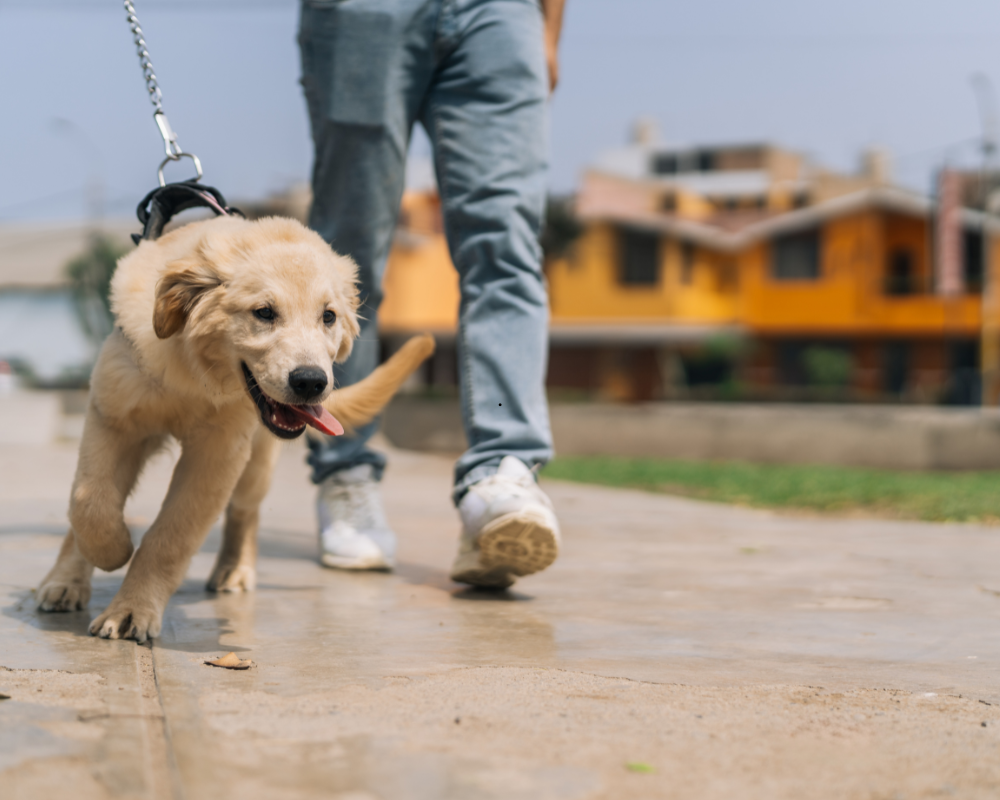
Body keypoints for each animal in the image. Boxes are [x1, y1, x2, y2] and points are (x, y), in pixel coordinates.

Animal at [34, 214, 434, 644]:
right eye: (264, 312)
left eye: (328, 316)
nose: (312, 382)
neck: (194, 373)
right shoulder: (112, 416)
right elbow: (88, 501)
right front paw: (110, 552)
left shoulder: (218, 453)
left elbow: (170, 536)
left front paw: (132, 609)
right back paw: (64, 581)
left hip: (255, 460)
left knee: (246, 511)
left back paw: (235, 569)